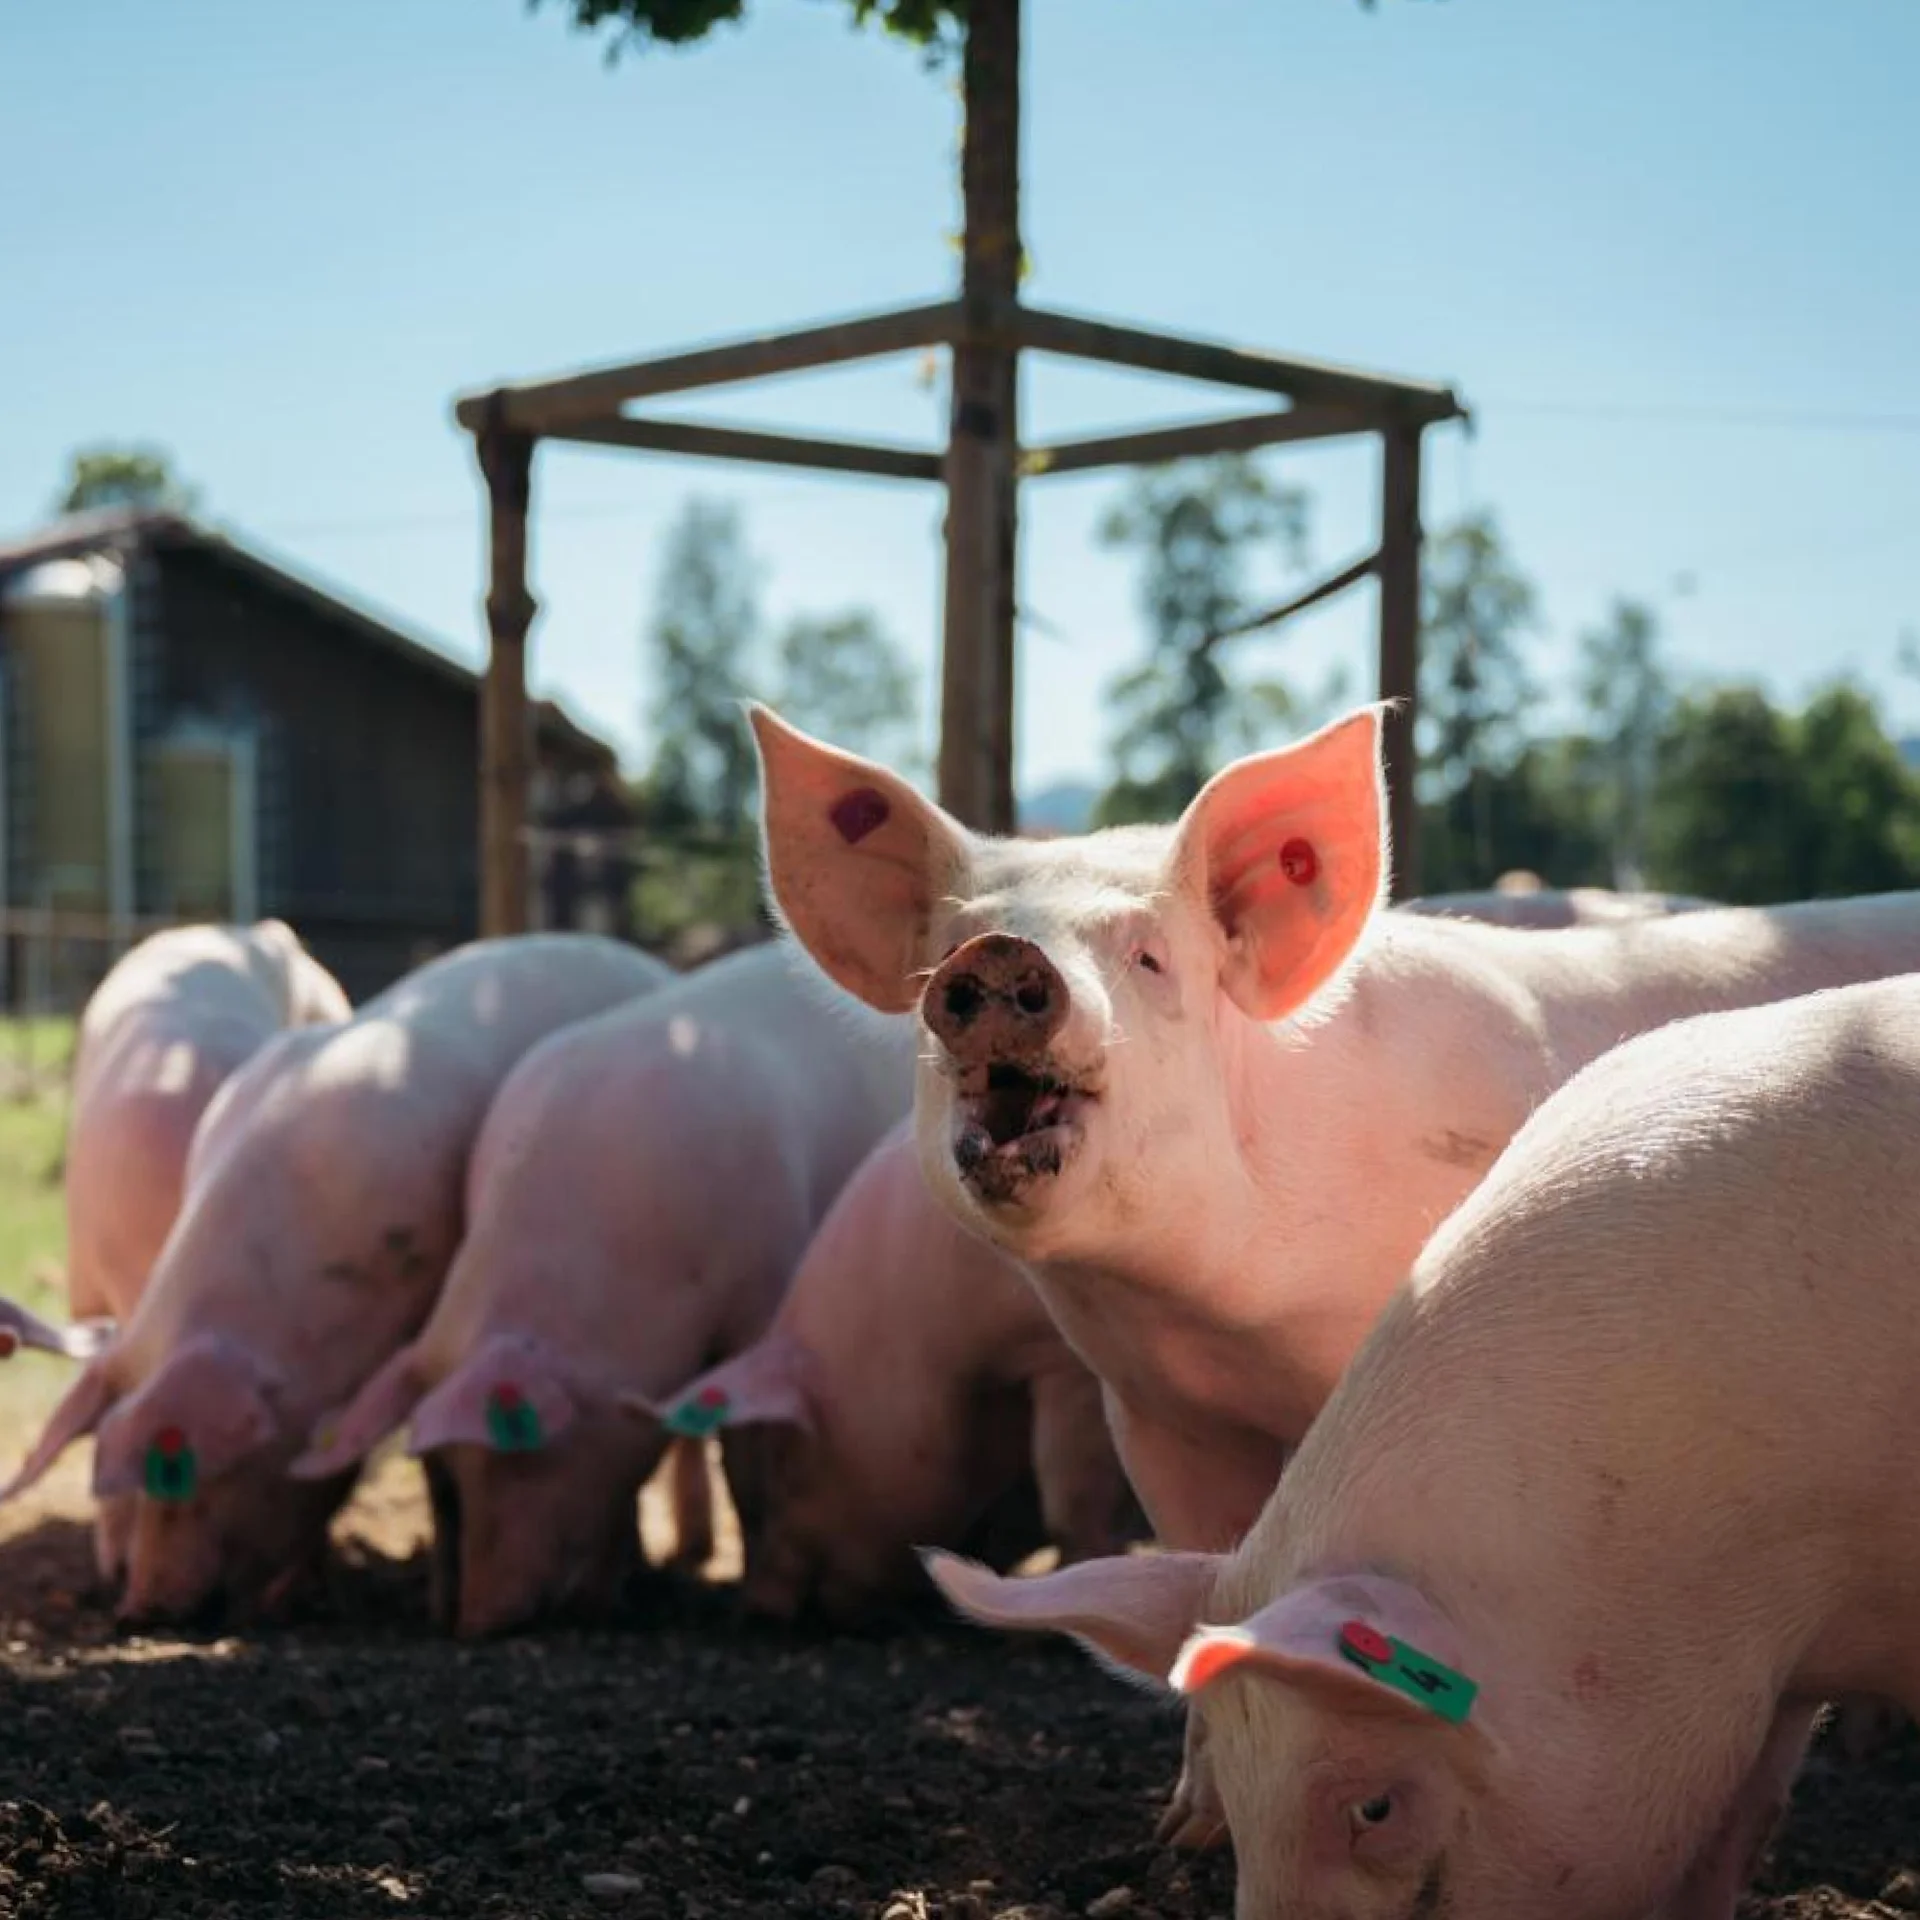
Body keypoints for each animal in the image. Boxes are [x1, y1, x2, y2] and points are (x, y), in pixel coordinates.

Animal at [288, 940, 910, 1635]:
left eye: (517, 1456)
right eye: (442, 1477)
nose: (477, 1620)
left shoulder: (766, 1287)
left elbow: (743, 1447)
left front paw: (747, 1605)